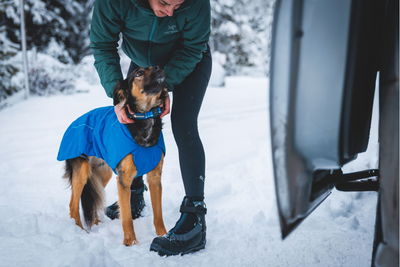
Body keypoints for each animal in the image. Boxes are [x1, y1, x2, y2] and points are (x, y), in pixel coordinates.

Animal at [56, 67, 167, 247]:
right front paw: (131, 242)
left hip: (102, 172)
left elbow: (159, 214)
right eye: (139, 73)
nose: (159, 68)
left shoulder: (155, 177)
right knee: (73, 204)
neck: (145, 117)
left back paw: (96, 225)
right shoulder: (124, 179)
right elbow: (127, 216)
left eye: (155, 66)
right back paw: (81, 232)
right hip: (83, 169)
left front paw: (164, 236)